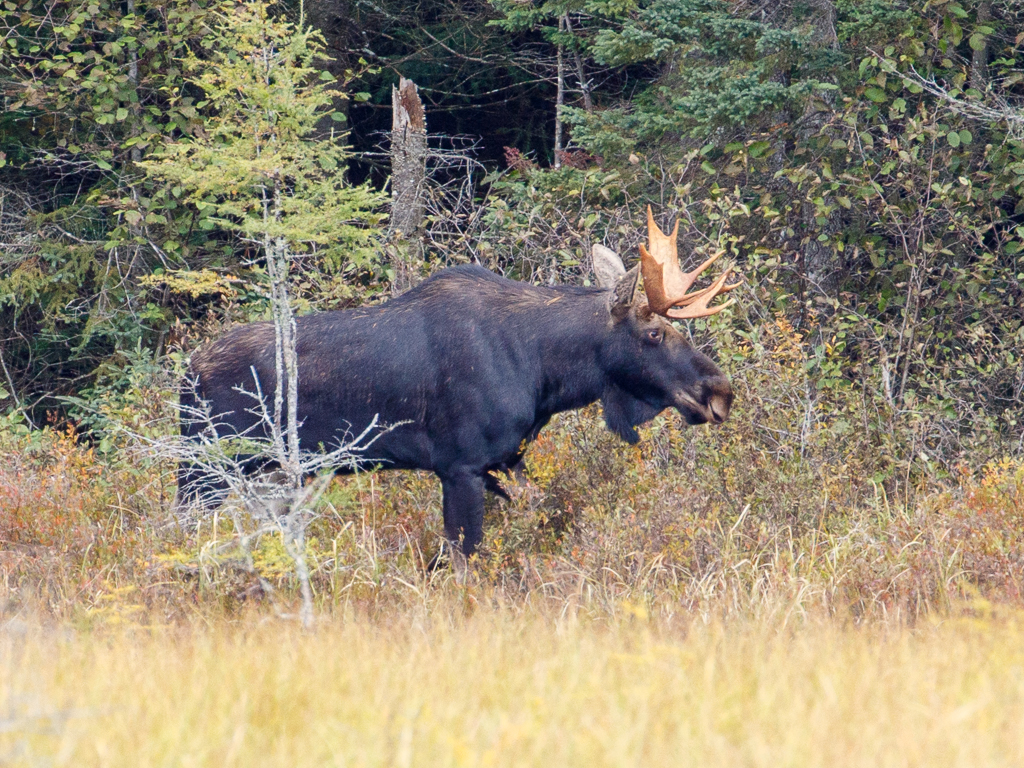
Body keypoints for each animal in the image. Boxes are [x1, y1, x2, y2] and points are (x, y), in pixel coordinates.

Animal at [177, 208, 739, 556]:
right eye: (653, 332)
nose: (719, 391)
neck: (543, 370)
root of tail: (186, 374)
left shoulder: (505, 461)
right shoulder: (460, 464)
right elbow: (464, 559)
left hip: (265, 474)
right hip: (205, 469)